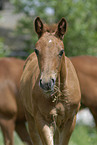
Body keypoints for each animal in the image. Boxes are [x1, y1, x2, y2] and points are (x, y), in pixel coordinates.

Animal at [20, 17, 80, 145]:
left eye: (61, 51)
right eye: (36, 50)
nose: (46, 83)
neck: (58, 94)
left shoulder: (70, 120)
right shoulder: (43, 120)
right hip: (31, 120)